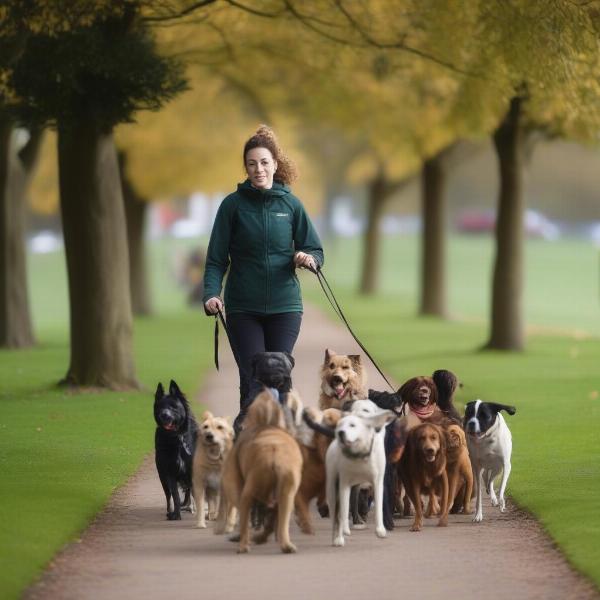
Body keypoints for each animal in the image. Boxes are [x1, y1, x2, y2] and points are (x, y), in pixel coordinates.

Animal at [154, 380, 198, 520]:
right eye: (160, 407)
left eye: (174, 407)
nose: (164, 415)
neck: (177, 438)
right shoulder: (169, 472)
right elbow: (175, 496)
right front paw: (176, 514)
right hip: (162, 476)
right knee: (169, 496)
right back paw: (171, 510)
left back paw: (191, 507)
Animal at [213, 390, 302, 552]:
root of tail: (274, 455)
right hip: (287, 492)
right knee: (280, 519)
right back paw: (283, 544)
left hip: (248, 491)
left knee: (245, 519)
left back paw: (243, 544)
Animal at [326, 400, 396, 548]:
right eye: (351, 409)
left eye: (366, 410)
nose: (341, 432)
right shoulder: (343, 483)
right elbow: (343, 511)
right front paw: (340, 536)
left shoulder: (378, 481)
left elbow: (380, 505)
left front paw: (381, 529)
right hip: (334, 485)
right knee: (340, 508)